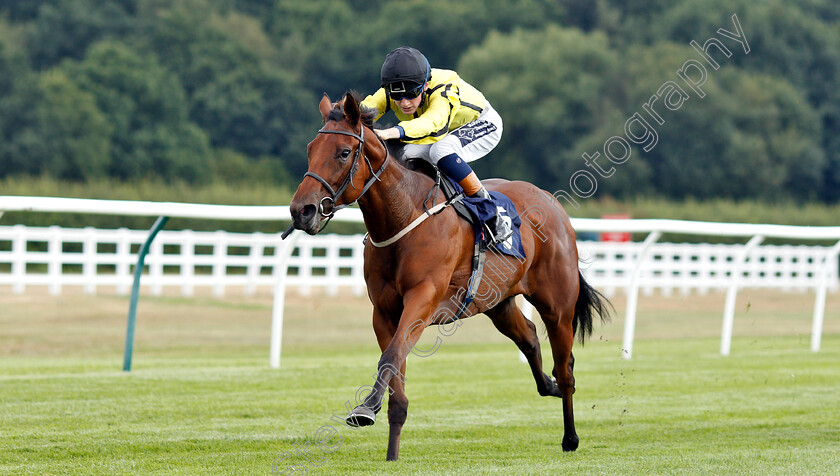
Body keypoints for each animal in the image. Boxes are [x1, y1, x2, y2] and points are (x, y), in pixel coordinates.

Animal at [290, 92, 612, 462]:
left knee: (566, 366)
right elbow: (395, 374)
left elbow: (390, 357)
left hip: (558, 305)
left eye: (344, 152)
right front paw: (391, 452)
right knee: (530, 337)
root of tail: (551, 202)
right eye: (310, 148)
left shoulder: (423, 300)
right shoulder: (384, 312)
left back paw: (570, 436)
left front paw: (365, 408)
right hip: (497, 303)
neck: (404, 216)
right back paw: (550, 386)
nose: (301, 210)